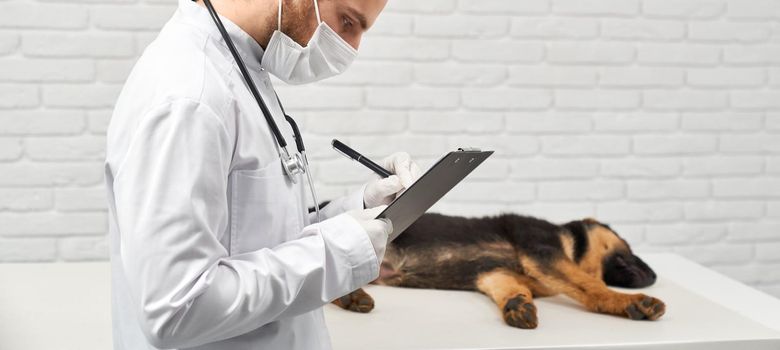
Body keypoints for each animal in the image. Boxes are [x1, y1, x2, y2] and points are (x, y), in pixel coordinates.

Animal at [330, 212, 664, 330]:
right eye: (629, 246)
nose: (654, 276)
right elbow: (591, 286)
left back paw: (351, 297)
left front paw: (517, 304)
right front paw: (629, 302)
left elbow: (514, 290)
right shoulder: (543, 251)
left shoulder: (494, 274)